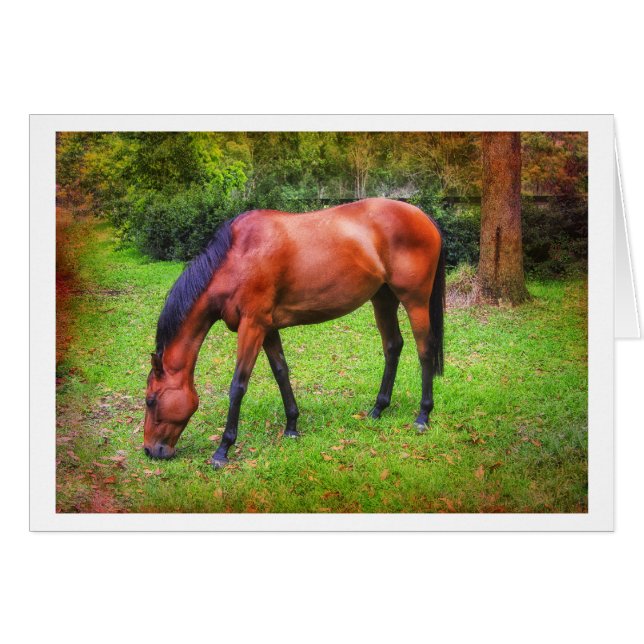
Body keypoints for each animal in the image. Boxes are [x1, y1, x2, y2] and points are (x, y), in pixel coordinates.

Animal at [143, 197, 445, 469]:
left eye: (150, 400)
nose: (149, 450)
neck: (237, 258)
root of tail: (422, 216)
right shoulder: (267, 328)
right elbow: (281, 373)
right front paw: (291, 426)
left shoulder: (252, 326)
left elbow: (238, 386)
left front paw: (223, 450)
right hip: (383, 299)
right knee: (393, 346)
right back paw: (378, 409)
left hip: (415, 300)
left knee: (425, 350)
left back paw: (423, 416)